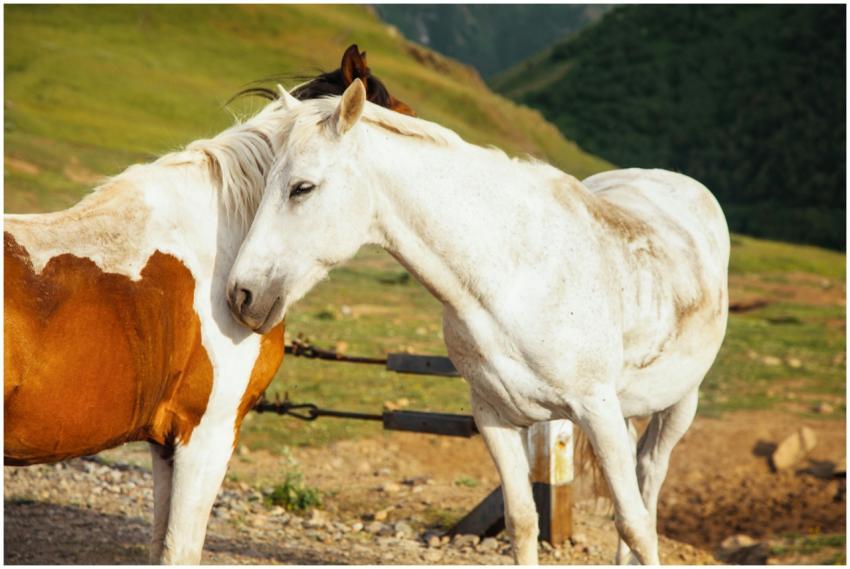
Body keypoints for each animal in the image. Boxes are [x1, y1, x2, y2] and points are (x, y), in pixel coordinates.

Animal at [226, 80, 730, 565]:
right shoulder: (496, 418)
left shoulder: (596, 410)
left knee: (649, 476)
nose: (240, 294)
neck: (514, 275)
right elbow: (522, 522)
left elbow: (636, 524)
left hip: (678, 402)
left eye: (302, 188)